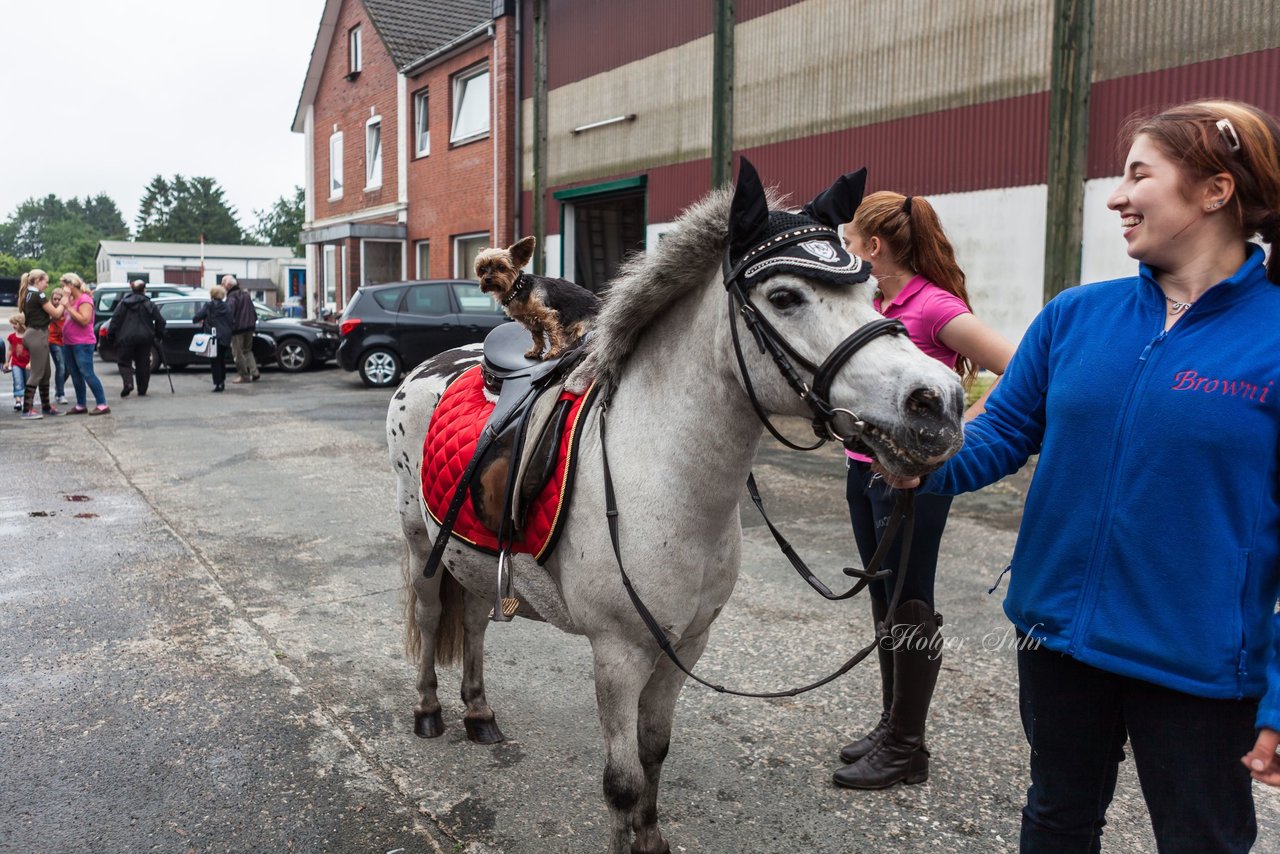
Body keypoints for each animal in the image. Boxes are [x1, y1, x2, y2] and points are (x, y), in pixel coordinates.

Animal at [476, 235, 604, 363]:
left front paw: (553, 352)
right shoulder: (532, 322)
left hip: (583, 327)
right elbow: (537, 338)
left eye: (501, 267)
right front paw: (535, 351)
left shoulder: (548, 316)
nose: (487, 279)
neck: (518, 289)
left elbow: (553, 335)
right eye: (481, 269)